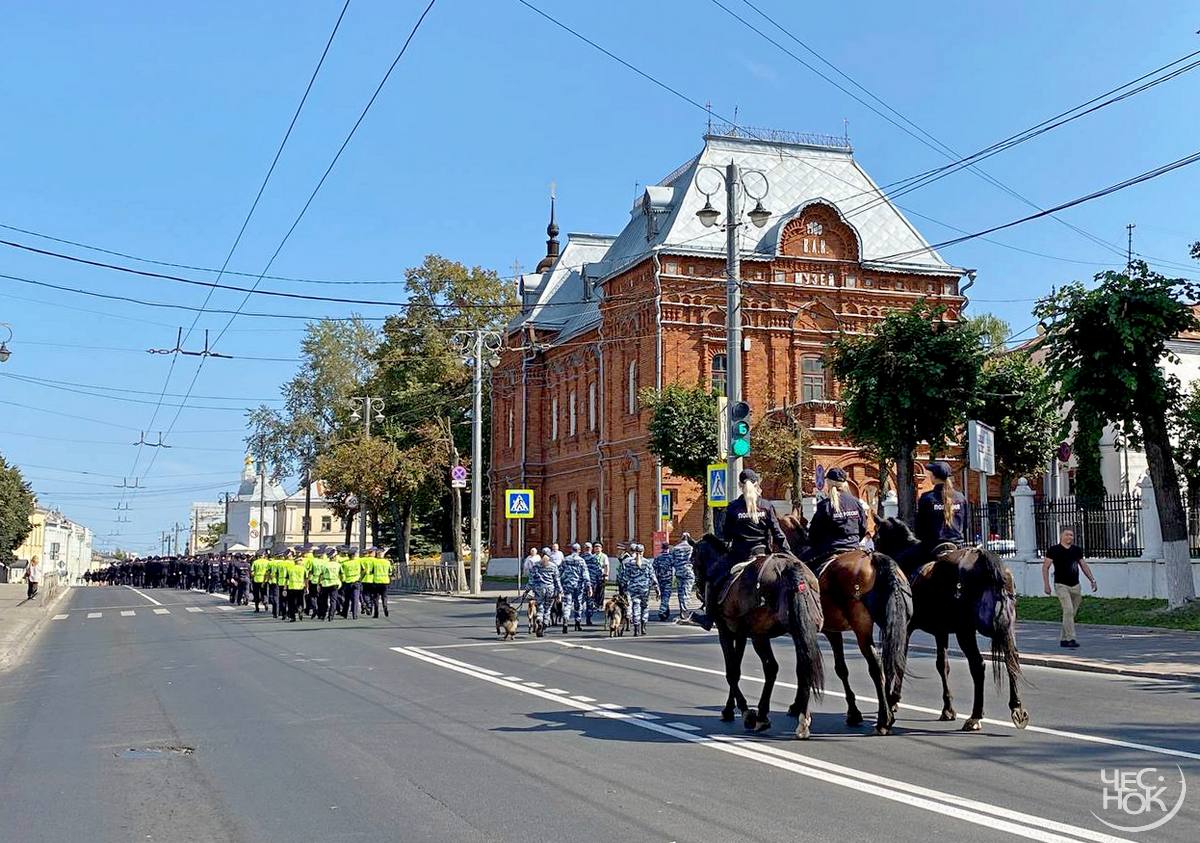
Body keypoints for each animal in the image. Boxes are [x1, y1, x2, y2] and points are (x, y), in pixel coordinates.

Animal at [691, 537, 820, 744]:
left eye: (692, 559)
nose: (698, 591)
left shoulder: (726, 632)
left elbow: (732, 672)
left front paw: (745, 713)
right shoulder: (741, 634)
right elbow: (736, 668)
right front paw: (729, 709)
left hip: (761, 635)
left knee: (771, 667)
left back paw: (762, 716)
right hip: (799, 631)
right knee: (803, 668)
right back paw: (802, 721)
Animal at [777, 511, 907, 734]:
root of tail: (873, 558)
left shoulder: (814, 631)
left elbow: (808, 666)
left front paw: (797, 706)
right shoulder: (833, 631)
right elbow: (841, 668)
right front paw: (854, 712)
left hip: (861, 627)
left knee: (875, 663)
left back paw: (884, 719)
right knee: (892, 658)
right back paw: (889, 709)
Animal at [873, 513, 1032, 734]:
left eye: (875, 536)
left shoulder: (907, 628)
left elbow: (900, 661)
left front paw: (893, 700)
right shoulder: (941, 632)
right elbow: (943, 665)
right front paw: (948, 709)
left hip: (966, 631)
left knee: (978, 665)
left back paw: (975, 716)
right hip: (1005, 629)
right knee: (1012, 660)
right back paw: (1016, 707)